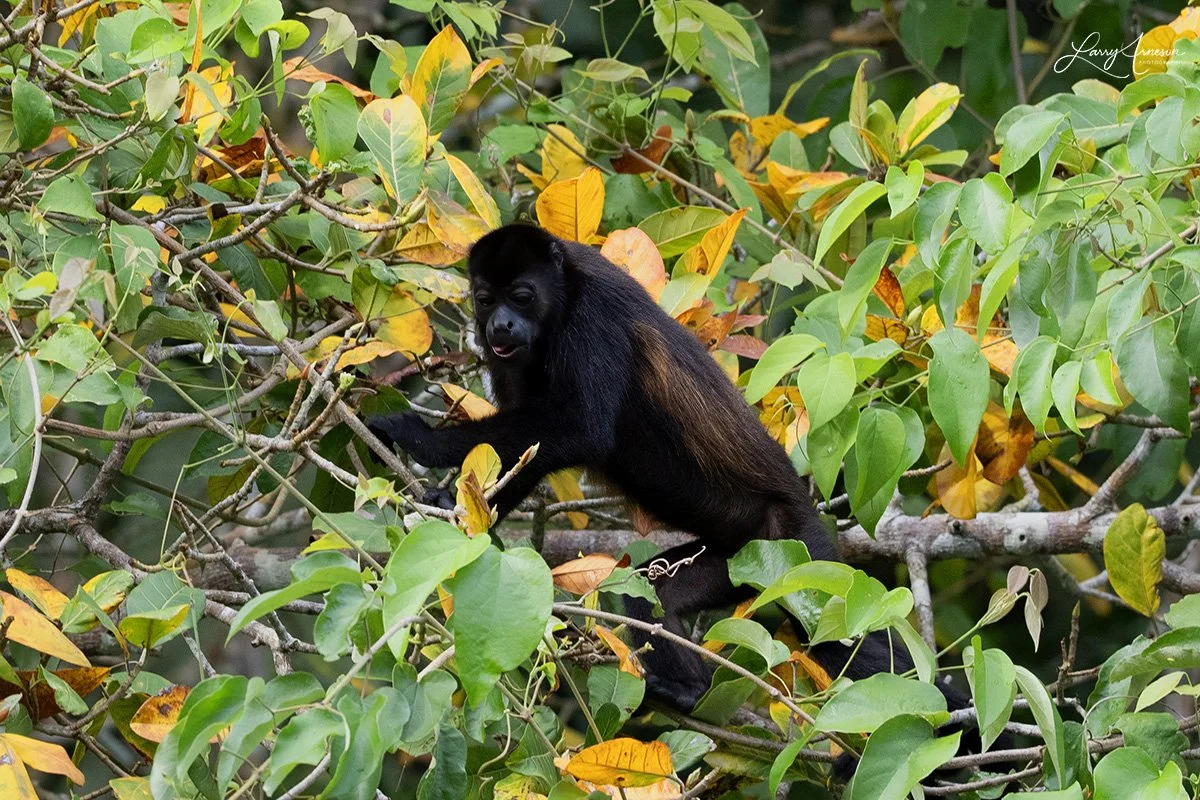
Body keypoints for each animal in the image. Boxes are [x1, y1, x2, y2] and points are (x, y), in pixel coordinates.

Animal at [367, 223, 963, 725]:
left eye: (522, 295)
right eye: (485, 298)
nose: (499, 324)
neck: (560, 298)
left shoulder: (594, 316)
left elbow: (578, 427)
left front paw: (416, 436)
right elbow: (522, 456)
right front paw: (461, 511)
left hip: (796, 552)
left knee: (830, 637)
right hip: (741, 555)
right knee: (650, 594)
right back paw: (690, 691)